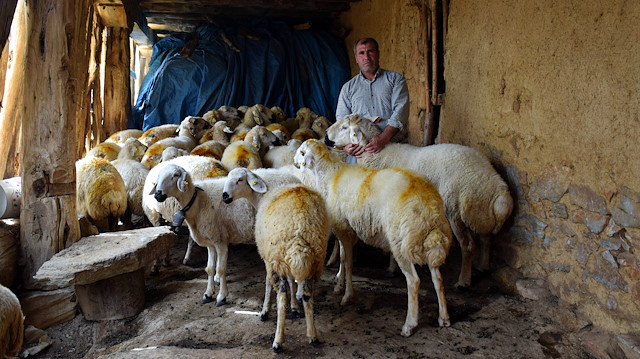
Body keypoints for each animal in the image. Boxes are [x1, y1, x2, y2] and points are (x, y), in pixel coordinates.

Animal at [149, 163, 302, 306]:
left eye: (175, 175)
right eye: (158, 176)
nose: (158, 194)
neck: (198, 202)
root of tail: (294, 179)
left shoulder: (220, 241)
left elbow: (221, 269)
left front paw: (221, 296)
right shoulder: (210, 241)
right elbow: (210, 268)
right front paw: (208, 294)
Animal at [221, 169, 330, 354]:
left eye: (240, 180)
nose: (225, 196)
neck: (261, 197)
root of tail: (300, 224)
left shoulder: (268, 257)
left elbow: (267, 283)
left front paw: (265, 311)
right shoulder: (287, 261)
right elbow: (292, 281)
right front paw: (295, 308)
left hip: (277, 258)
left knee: (281, 297)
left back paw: (278, 341)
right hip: (314, 258)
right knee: (307, 294)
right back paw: (313, 336)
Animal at [292, 139, 452, 338]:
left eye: (301, 152)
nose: (294, 162)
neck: (330, 175)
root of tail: (429, 206)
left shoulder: (343, 228)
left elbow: (349, 263)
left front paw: (347, 295)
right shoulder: (345, 228)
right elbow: (343, 258)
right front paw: (339, 286)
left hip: (401, 241)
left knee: (414, 281)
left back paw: (409, 325)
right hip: (430, 241)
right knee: (438, 278)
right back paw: (444, 318)